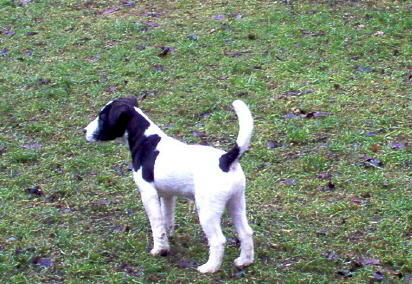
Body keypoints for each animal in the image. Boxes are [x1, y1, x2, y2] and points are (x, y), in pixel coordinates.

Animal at [84, 97, 254, 272]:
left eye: (102, 117)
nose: (84, 130)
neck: (146, 141)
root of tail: (227, 159)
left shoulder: (148, 194)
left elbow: (157, 225)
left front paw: (160, 249)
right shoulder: (167, 195)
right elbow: (167, 219)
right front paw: (168, 238)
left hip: (208, 211)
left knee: (218, 240)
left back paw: (210, 268)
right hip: (236, 202)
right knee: (246, 232)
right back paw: (244, 261)